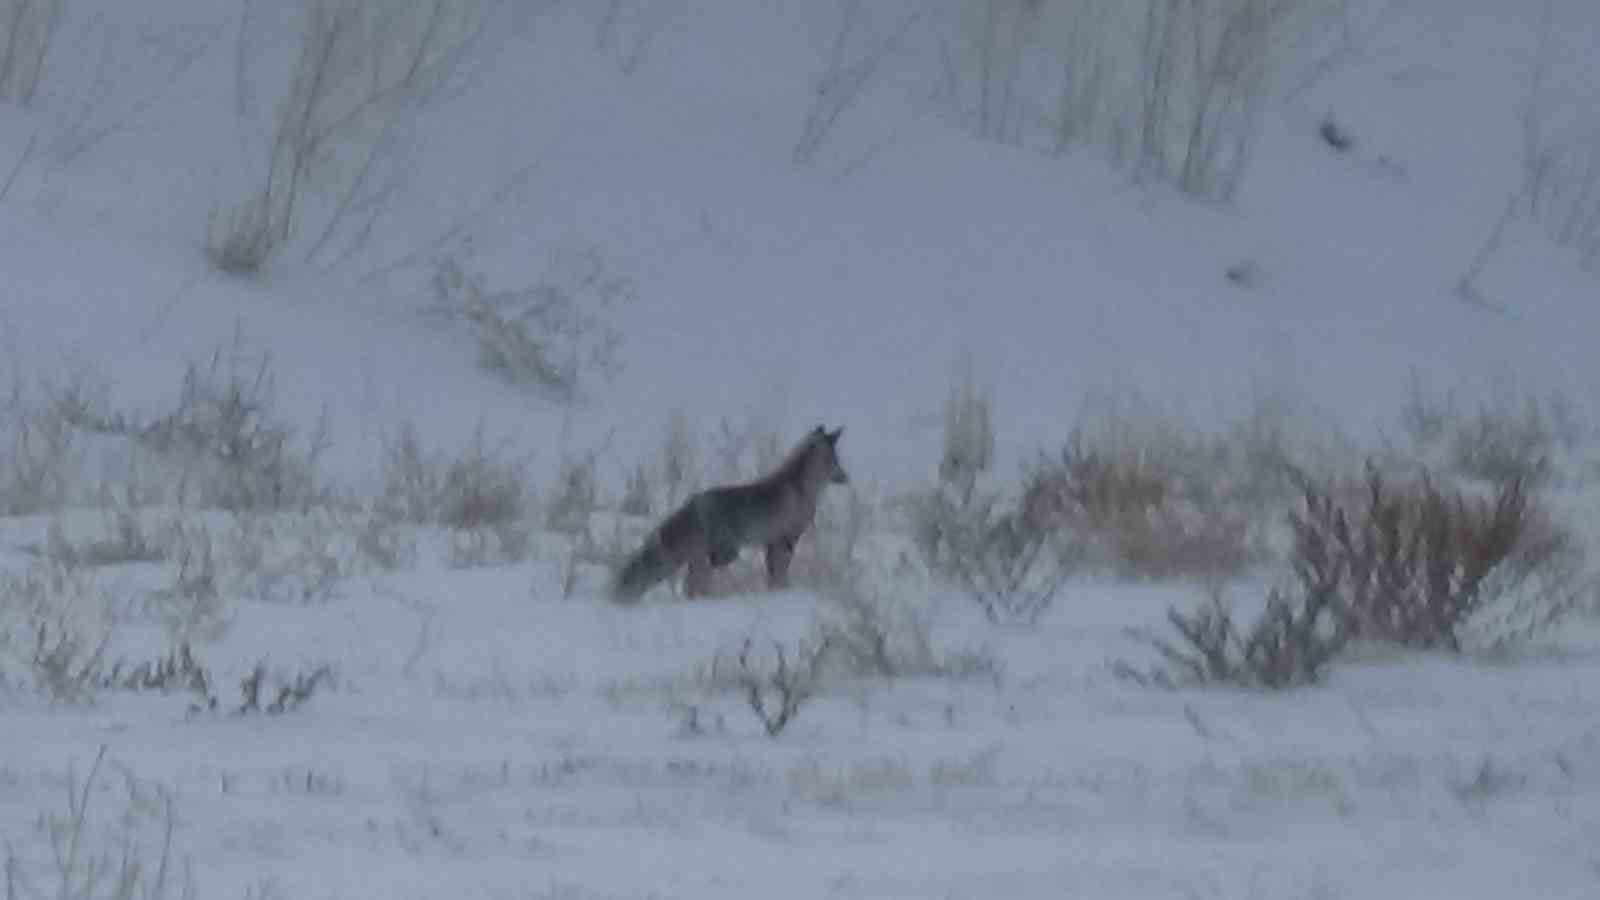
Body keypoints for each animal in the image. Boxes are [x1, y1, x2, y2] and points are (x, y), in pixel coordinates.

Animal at [608, 422, 851, 602]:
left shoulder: (771, 542)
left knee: (691, 585)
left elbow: (773, 575)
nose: (846, 477)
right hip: (724, 553)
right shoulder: (787, 539)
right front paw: (783, 592)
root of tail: (694, 502)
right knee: (692, 585)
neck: (801, 487)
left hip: (707, 556)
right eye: (836, 461)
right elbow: (780, 574)